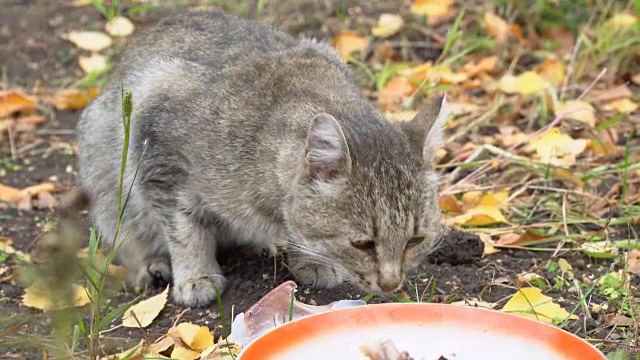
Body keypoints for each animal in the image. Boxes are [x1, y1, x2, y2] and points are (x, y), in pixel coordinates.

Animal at [76, 9, 444, 306]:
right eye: (363, 244)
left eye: (415, 240)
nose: (392, 284)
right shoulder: (161, 162)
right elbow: (185, 230)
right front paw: (196, 276)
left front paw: (311, 260)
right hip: (108, 181)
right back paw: (150, 264)